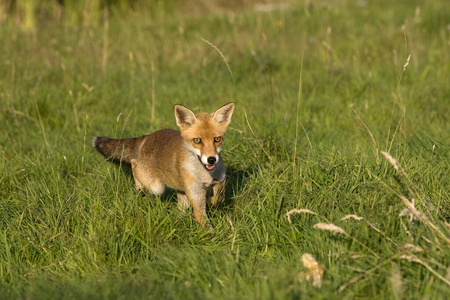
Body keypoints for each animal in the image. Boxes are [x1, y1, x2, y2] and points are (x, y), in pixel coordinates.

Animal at [92, 103, 236, 227]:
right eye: (197, 141)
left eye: (217, 139)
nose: (211, 159)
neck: (205, 174)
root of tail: (147, 136)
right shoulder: (195, 192)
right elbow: (201, 217)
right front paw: (209, 233)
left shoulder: (220, 179)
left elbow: (219, 198)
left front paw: (212, 202)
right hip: (156, 187)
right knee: (133, 164)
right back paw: (138, 187)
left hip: (180, 192)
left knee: (180, 209)